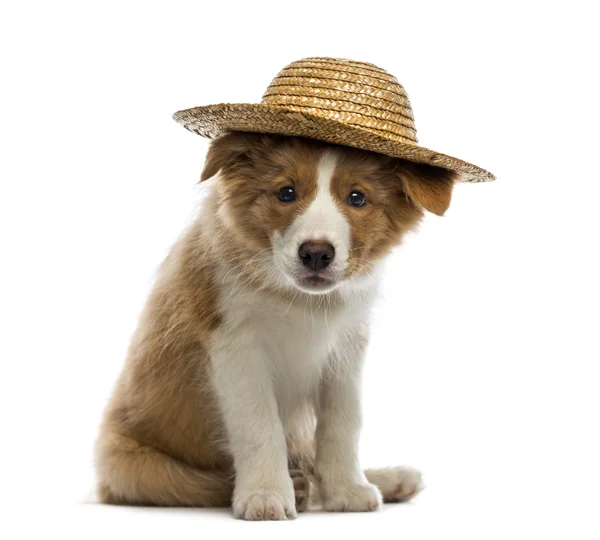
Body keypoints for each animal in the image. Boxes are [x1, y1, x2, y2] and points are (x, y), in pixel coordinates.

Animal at [95, 130, 454, 520]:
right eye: (286, 193)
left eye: (357, 198)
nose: (316, 253)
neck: (300, 300)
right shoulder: (235, 348)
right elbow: (260, 425)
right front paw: (265, 495)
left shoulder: (345, 348)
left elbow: (343, 421)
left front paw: (347, 490)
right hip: (134, 468)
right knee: (200, 484)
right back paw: (297, 486)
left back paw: (388, 480)